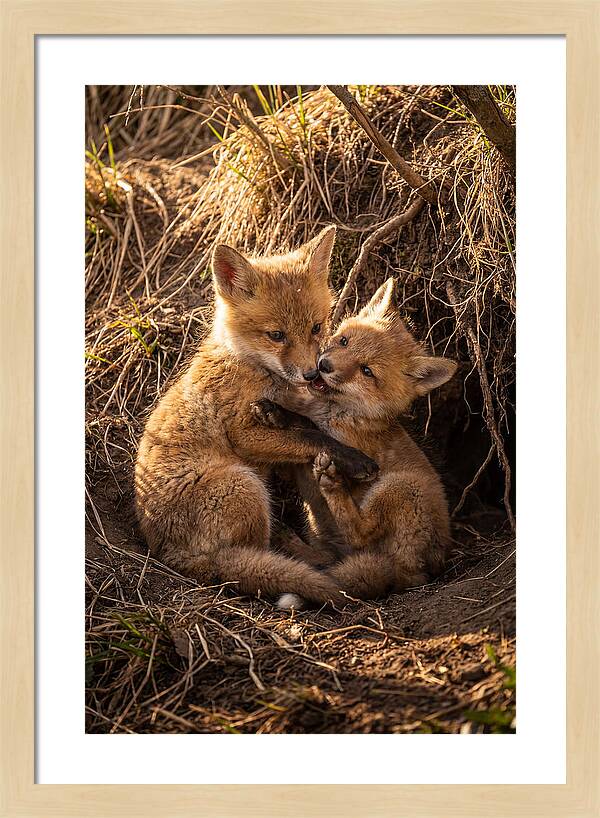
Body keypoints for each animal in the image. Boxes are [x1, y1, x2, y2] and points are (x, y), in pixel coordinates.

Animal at [134, 227, 378, 607]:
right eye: (276, 335)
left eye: (316, 327)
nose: (312, 374)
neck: (249, 366)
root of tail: (168, 555)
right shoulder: (244, 434)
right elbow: (312, 436)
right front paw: (354, 459)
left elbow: (305, 425)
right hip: (243, 484)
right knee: (255, 556)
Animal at [255, 277, 457, 608]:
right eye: (344, 341)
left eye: (366, 371)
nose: (324, 365)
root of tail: (420, 573)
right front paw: (276, 411)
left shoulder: (349, 445)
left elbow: (314, 430)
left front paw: (282, 415)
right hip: (325, 535)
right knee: (328, 559)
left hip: (401, 487)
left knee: (360, 532)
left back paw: (332, 486)